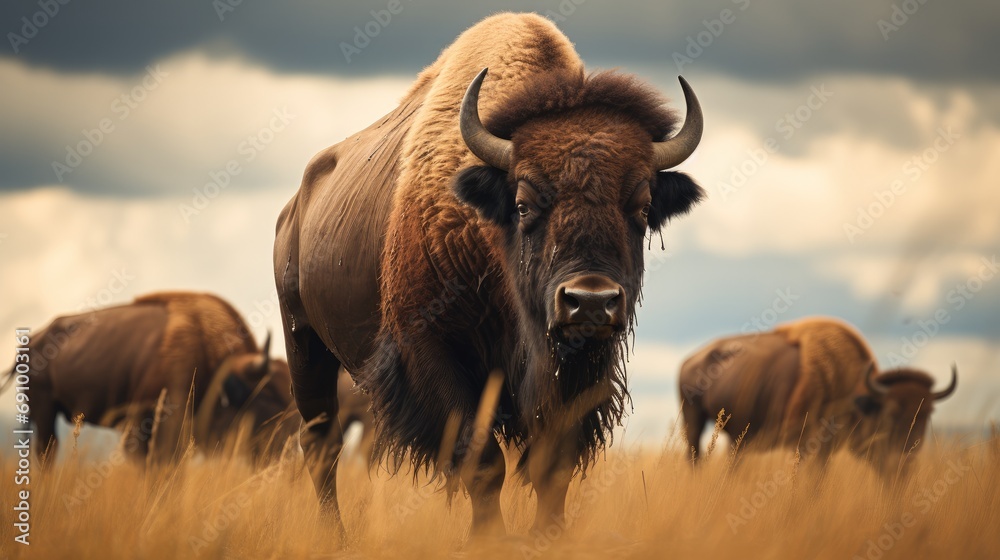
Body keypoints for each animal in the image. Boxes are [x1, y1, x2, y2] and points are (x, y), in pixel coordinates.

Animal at [6, 294, 296, 464]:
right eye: (266, 398)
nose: (289, 455)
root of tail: (31, 341)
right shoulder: (143, 425)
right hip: (44, 410)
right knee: (47, 451)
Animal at [276, 13, 704, 532]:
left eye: (642, 208)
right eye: (523, 203)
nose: (590, 301)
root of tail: (294, 208)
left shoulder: (580, 372)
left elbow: (551, 467)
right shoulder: (433, 353)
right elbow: (481, 464)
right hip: (303, 343)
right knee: (322, 442)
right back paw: (335, 535)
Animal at [680, 316, 952, 472]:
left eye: (928, 413)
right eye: (891, 413)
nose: (908, 456)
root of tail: (689, 361)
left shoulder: (825, 449)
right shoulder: (804, 444)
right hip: (693, 419)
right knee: (695, 458)